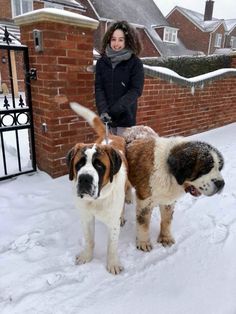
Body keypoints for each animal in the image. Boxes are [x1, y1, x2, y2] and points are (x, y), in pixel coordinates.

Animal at [67, 102, 128, 274]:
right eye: (79, 164)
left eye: (99, 166)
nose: (85, 178)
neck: (98, 199)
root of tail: (110, 137)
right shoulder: (86, 217)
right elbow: (89, 239)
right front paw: (86, 257)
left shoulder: (113, 222)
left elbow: (112, 246)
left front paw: (113, 264)